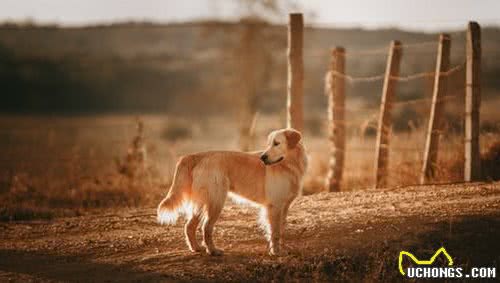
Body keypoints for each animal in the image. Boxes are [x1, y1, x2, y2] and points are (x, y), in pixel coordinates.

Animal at [156, 129, 306, 258]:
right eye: (269, 144)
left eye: (276, 143)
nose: (262, 157)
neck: (289, 165)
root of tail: (198, 155)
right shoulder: (274, 206)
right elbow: (274, 232)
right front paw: (275, 252)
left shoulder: (284, 207)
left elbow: (281, 230)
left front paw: (281, 248)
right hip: (216, 201)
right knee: (206, 228)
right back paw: (213, 250)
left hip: (202, 202)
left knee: (189, 226)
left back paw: (196, 248)